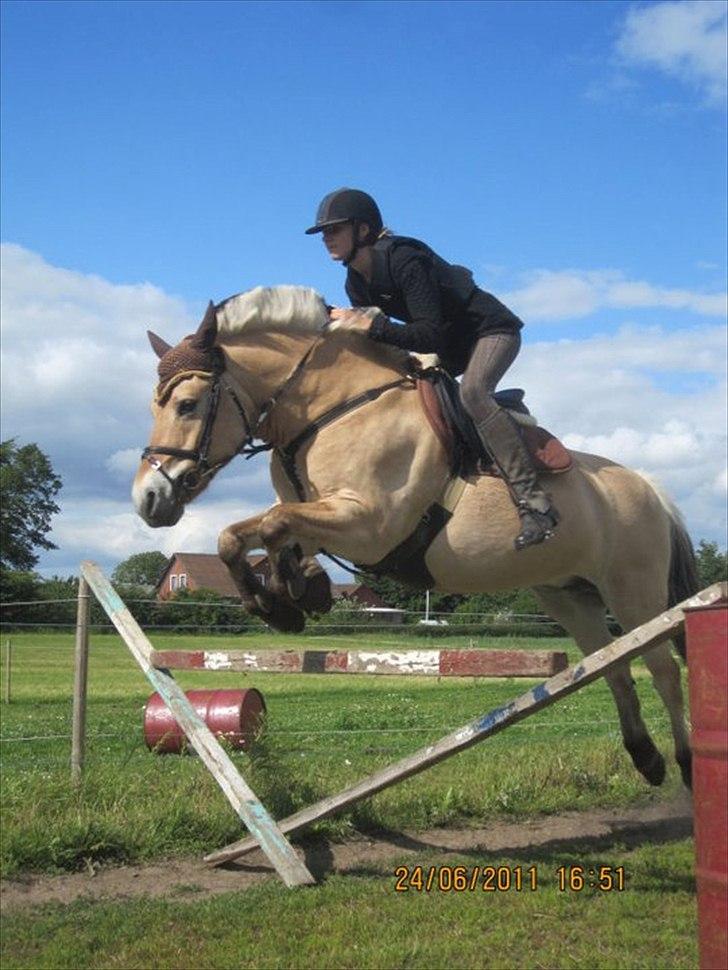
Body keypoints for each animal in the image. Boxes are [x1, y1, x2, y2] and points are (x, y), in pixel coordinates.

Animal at [135, 284, 700, 784]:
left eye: (187, 404)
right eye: (153, 407)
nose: (148, 498)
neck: (334, 407)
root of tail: (652, 490)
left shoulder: (369, 525)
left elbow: (270, 527)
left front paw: (283, 595)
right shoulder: (323, 513)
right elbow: (250, 534)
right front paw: (292, 595)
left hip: (633, 591)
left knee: (663, 670)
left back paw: (686, 763)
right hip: (569, 596)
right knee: (614, 665)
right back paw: (646, 758)